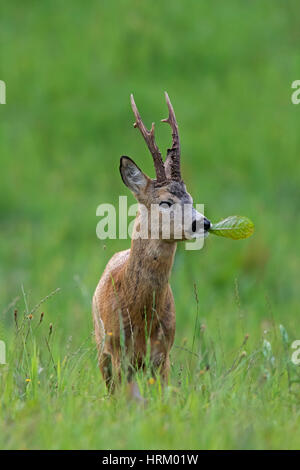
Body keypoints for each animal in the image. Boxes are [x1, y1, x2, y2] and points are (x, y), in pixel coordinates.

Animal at [92, 92, 210, 390]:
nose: (204, 223)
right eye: (165, 202)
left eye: (191, 198)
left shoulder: (162, 354)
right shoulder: (118, 353)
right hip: (101, 349)